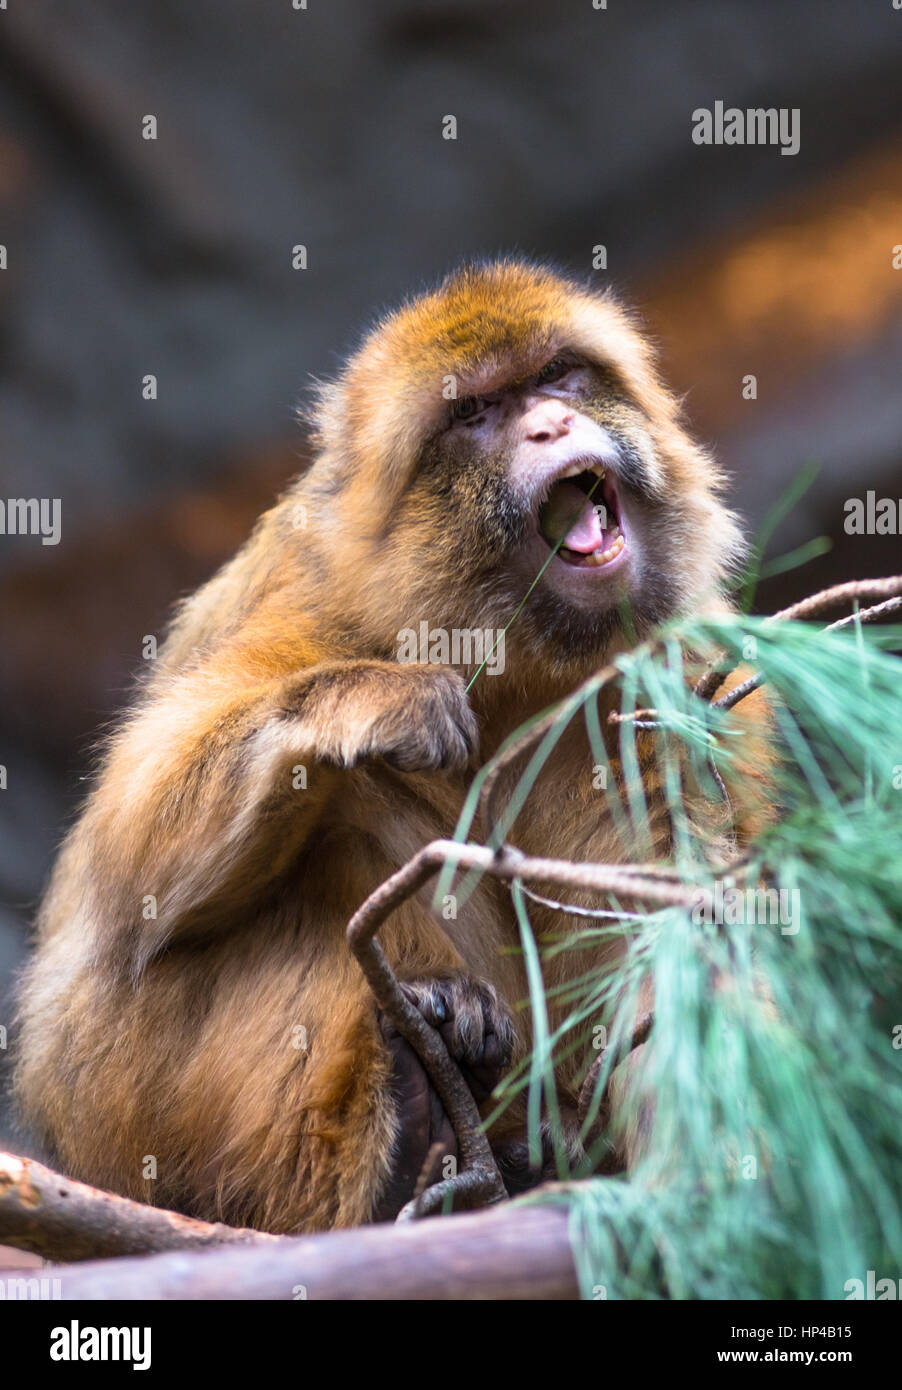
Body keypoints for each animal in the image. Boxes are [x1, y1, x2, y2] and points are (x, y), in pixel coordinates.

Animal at [15, 259, 771, 1232]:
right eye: (477, 413)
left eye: (559, 378)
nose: (551, 424)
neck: (515, 663)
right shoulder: (313, 602)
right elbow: (131, 868)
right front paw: (376, 703)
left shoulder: (674, 680)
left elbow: (675, 936)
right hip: (120, 1098)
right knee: (352, 806)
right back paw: (408, 1125)